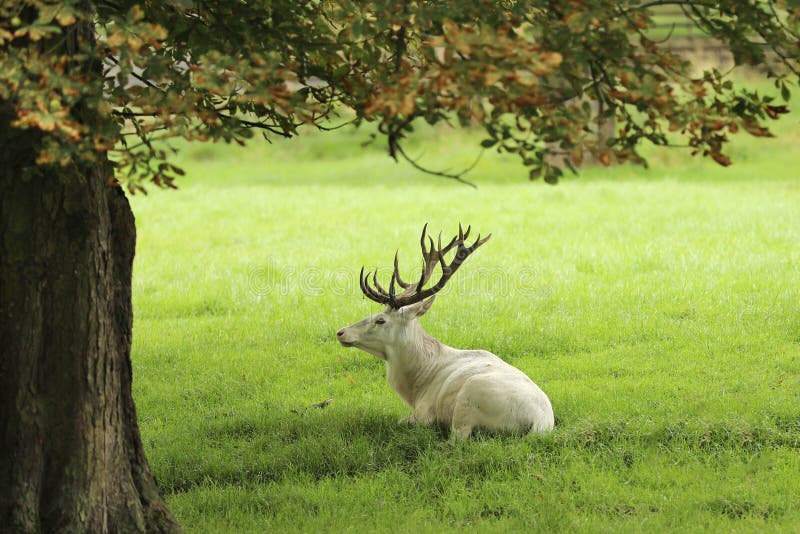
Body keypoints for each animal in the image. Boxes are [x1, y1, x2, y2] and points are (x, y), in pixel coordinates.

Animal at [336, 224, 554, 439]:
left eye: (380, 320)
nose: (341, 332)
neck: (417, 384)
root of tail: (540, 423)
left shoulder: (424, 412)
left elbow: (401, 422)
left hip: (469, 398)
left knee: (458, 438)